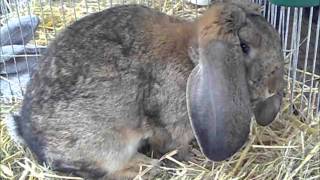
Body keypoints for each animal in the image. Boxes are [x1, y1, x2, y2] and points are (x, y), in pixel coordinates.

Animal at [4, 1, 284, 179]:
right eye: (244, 47)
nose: (273, 88)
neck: (192, 58)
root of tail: (31, 139)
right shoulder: (172, 125)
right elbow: (175, 145)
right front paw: (189, 159)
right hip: (109, 144)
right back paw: (148, 165)